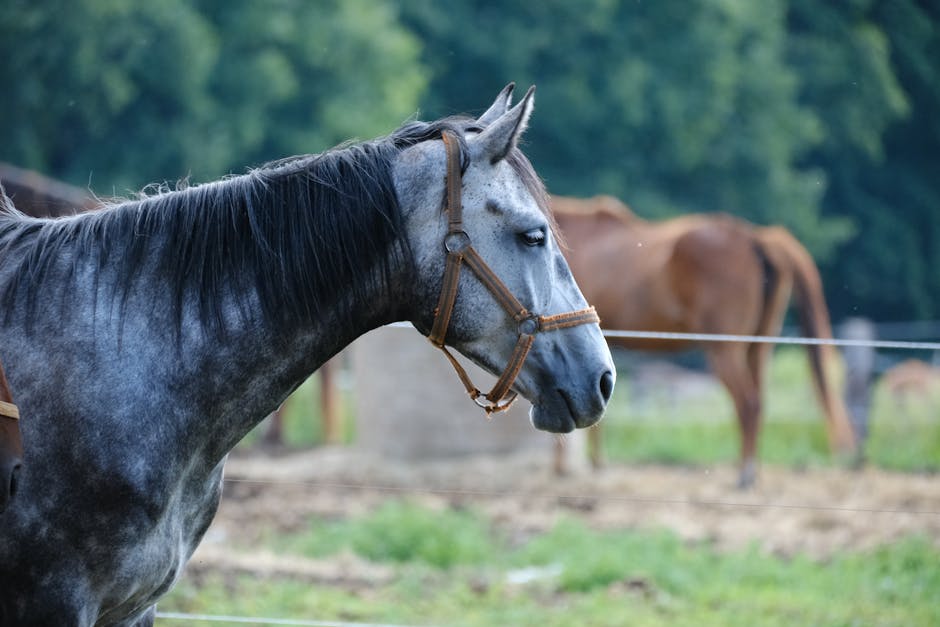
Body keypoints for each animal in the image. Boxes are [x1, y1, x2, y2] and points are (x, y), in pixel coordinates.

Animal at [552, 195, 855, 487]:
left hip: (725, 351)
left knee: (748, 404)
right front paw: (596, 465)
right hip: (757, 347)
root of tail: (754, 237)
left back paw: (745, 474)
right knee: (759, 402)